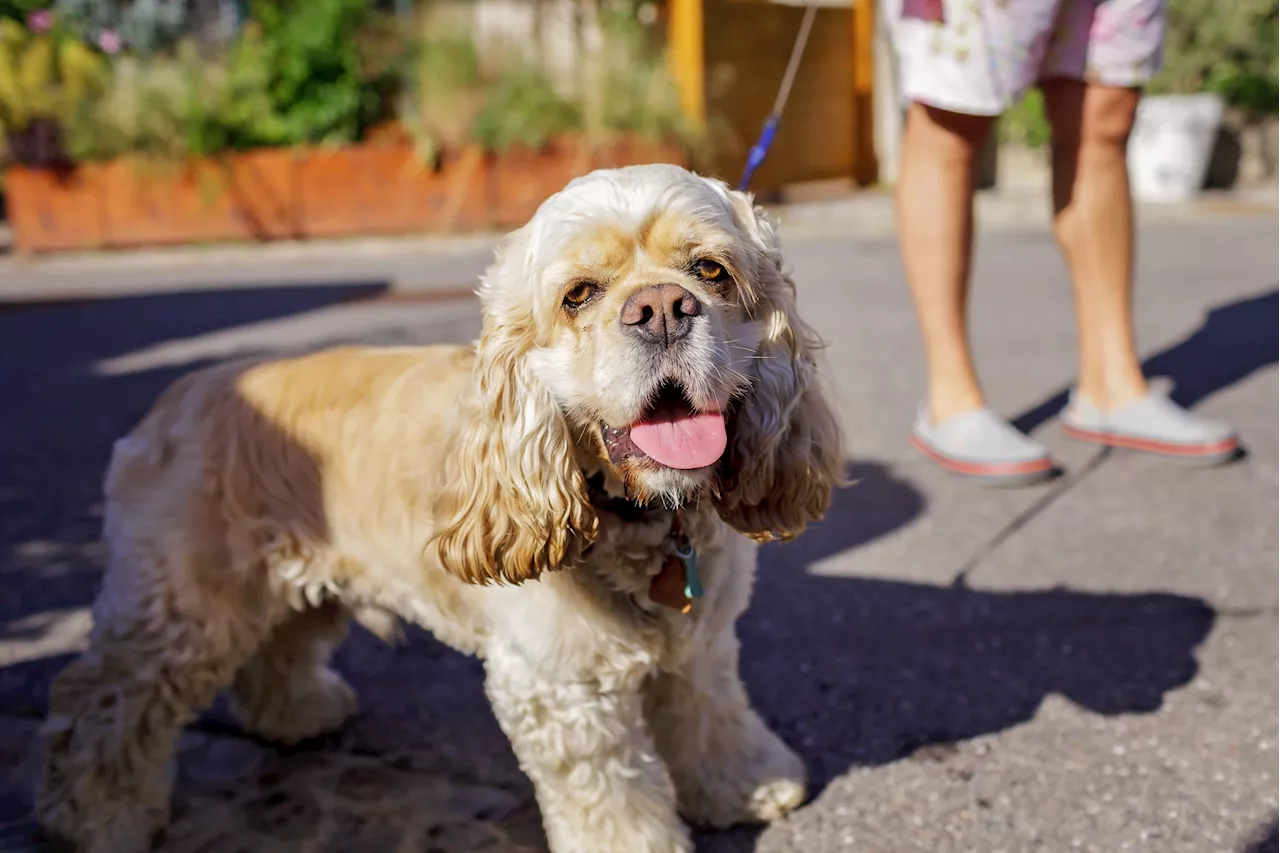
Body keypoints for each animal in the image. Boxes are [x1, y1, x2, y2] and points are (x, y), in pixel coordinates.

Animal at [35, 163, 844, 850]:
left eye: (710, 271)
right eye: (579, 294)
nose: (663, 309)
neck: (644, 515)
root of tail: (177, 397)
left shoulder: (702, 645)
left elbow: (714, 716)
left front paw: (747, 786)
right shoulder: (559, 689)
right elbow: (612, 798)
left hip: (298, 577)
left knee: (280, 645)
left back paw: (297, 715)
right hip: (184, 612)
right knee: (96, 701)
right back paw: (96, 818)